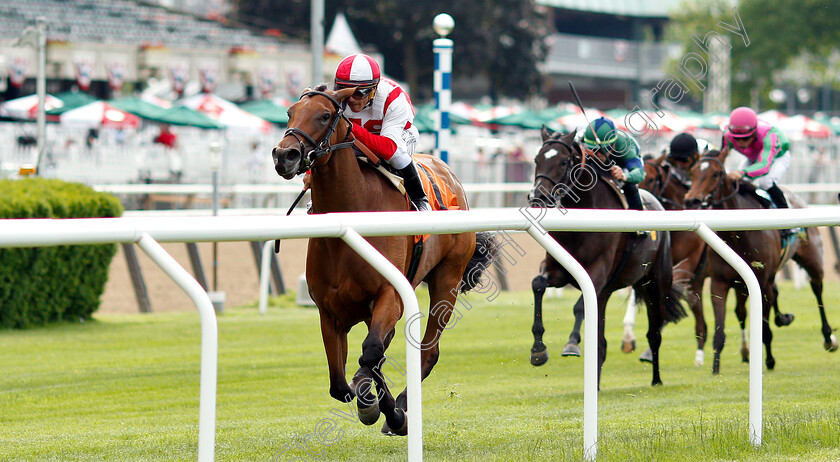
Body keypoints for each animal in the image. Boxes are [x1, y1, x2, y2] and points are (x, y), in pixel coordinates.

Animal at [272, 85, 496, 434]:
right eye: (289, 112)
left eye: (324, 115)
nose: (285, 155)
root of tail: (449, 173)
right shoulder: (329, 311)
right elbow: (340, 383)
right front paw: (368, 397)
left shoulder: (389, 295)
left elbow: (371, 354)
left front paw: (389, 412)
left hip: (447, 279)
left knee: (428, 351)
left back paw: (400, 406)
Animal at [528, 125, 684, 386]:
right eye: (536, 160)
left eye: (563, 162)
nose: (538, 198)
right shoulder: (558, 270)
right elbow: (537, 284)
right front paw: (538, 349)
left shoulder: (598, 271)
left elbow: (580, 306)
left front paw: (571, 343)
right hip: (610, 291)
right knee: (601, 344)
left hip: (655, 283)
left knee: (654, 334)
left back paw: (656, 380)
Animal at [684, 150, 836, 374]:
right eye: (692, 172)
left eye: (716, 173)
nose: (692, 201)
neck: (739, 234)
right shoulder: (720, 282)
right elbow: (720, 330)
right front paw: (715, 368)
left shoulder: (761, 281)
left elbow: (764, 328)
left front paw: (769, 360)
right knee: (753, 305)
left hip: (813, 261)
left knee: (817, 289)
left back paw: (828, 338)